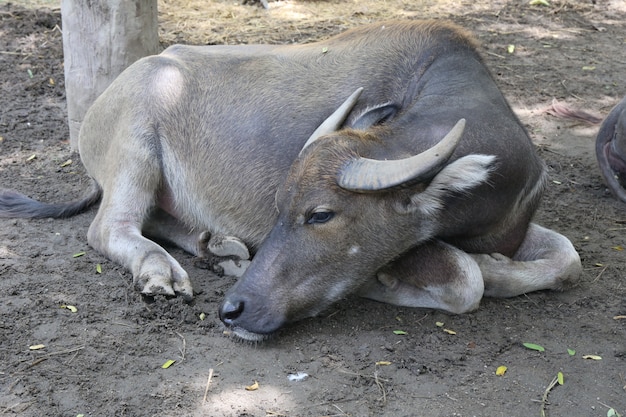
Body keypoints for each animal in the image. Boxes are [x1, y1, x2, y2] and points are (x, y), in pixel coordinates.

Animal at [0, 19, 580, 340]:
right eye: (282, 205)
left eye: (320, 214)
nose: (233, 310)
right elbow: (468, 278)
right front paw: (388, 281)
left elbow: (566, 259)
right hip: (133, 150)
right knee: (111, 226)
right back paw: (162, 273)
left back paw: (220, 247)